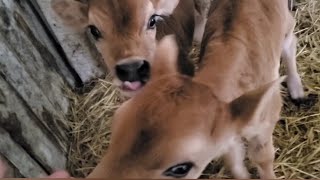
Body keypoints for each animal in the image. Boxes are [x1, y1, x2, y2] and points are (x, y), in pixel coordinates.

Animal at [86, 0, 304, 178]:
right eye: (115, 125)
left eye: (180, 169)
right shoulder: (227, 130)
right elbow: (233, 160)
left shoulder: (265, 124)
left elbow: (263, 159)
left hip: (285, 23)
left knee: (290, 42)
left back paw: (296, 88)